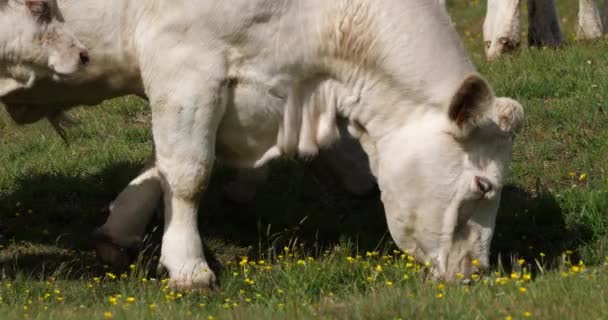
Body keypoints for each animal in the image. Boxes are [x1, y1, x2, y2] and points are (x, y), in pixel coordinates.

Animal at [1, 0, 524, 290]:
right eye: (483, 185)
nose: (476, 272)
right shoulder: (184, 62)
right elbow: (188, 173)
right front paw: (189, 268)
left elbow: (161, 165)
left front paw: (119, 231)